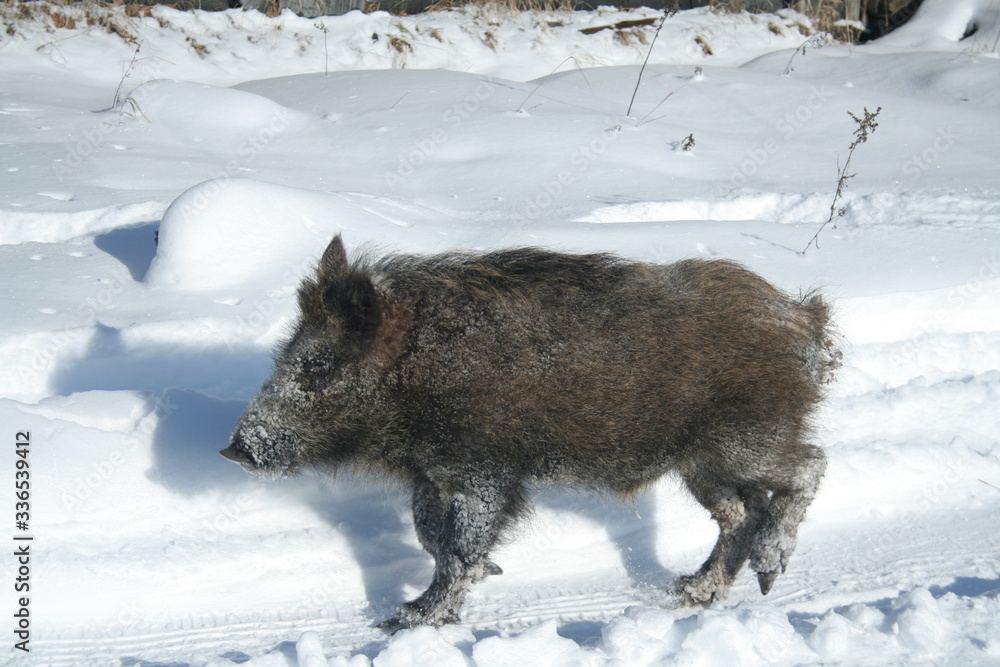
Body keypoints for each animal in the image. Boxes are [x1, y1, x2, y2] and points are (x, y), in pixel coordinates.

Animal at [222, 235, 840, 631]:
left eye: (319, 367)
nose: (234, 449)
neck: (420, 370)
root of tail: (805, 320)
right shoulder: (433, 473)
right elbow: (429, 533)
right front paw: (486, 574)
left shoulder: (486, 470)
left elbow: (457, 546)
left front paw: (406, 620)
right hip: (700, 465)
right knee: (741, 512)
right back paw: (689, 592)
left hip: (746, 439)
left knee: (808, 466)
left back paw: (765, 572)